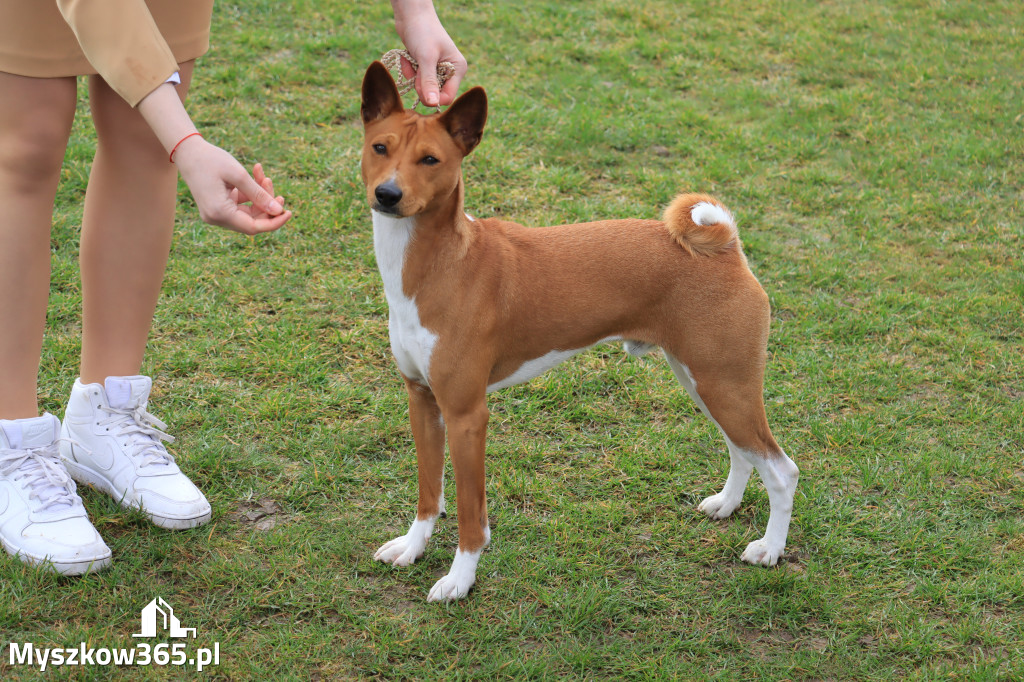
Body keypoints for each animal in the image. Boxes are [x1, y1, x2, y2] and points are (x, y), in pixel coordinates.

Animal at [360, 61, 798, 598]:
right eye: (380, 147)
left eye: (430, 159)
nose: (388, 194)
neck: (438, 266)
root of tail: (727, 248)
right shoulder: (422, 398)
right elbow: (429, 492)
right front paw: (412, 546)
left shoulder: (466, 415)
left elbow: (469, 514)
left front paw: (459, 579)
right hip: (706, 380)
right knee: (742, 450)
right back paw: (726, 504)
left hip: (724, 383)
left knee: (781, 470)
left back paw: (770, 550)